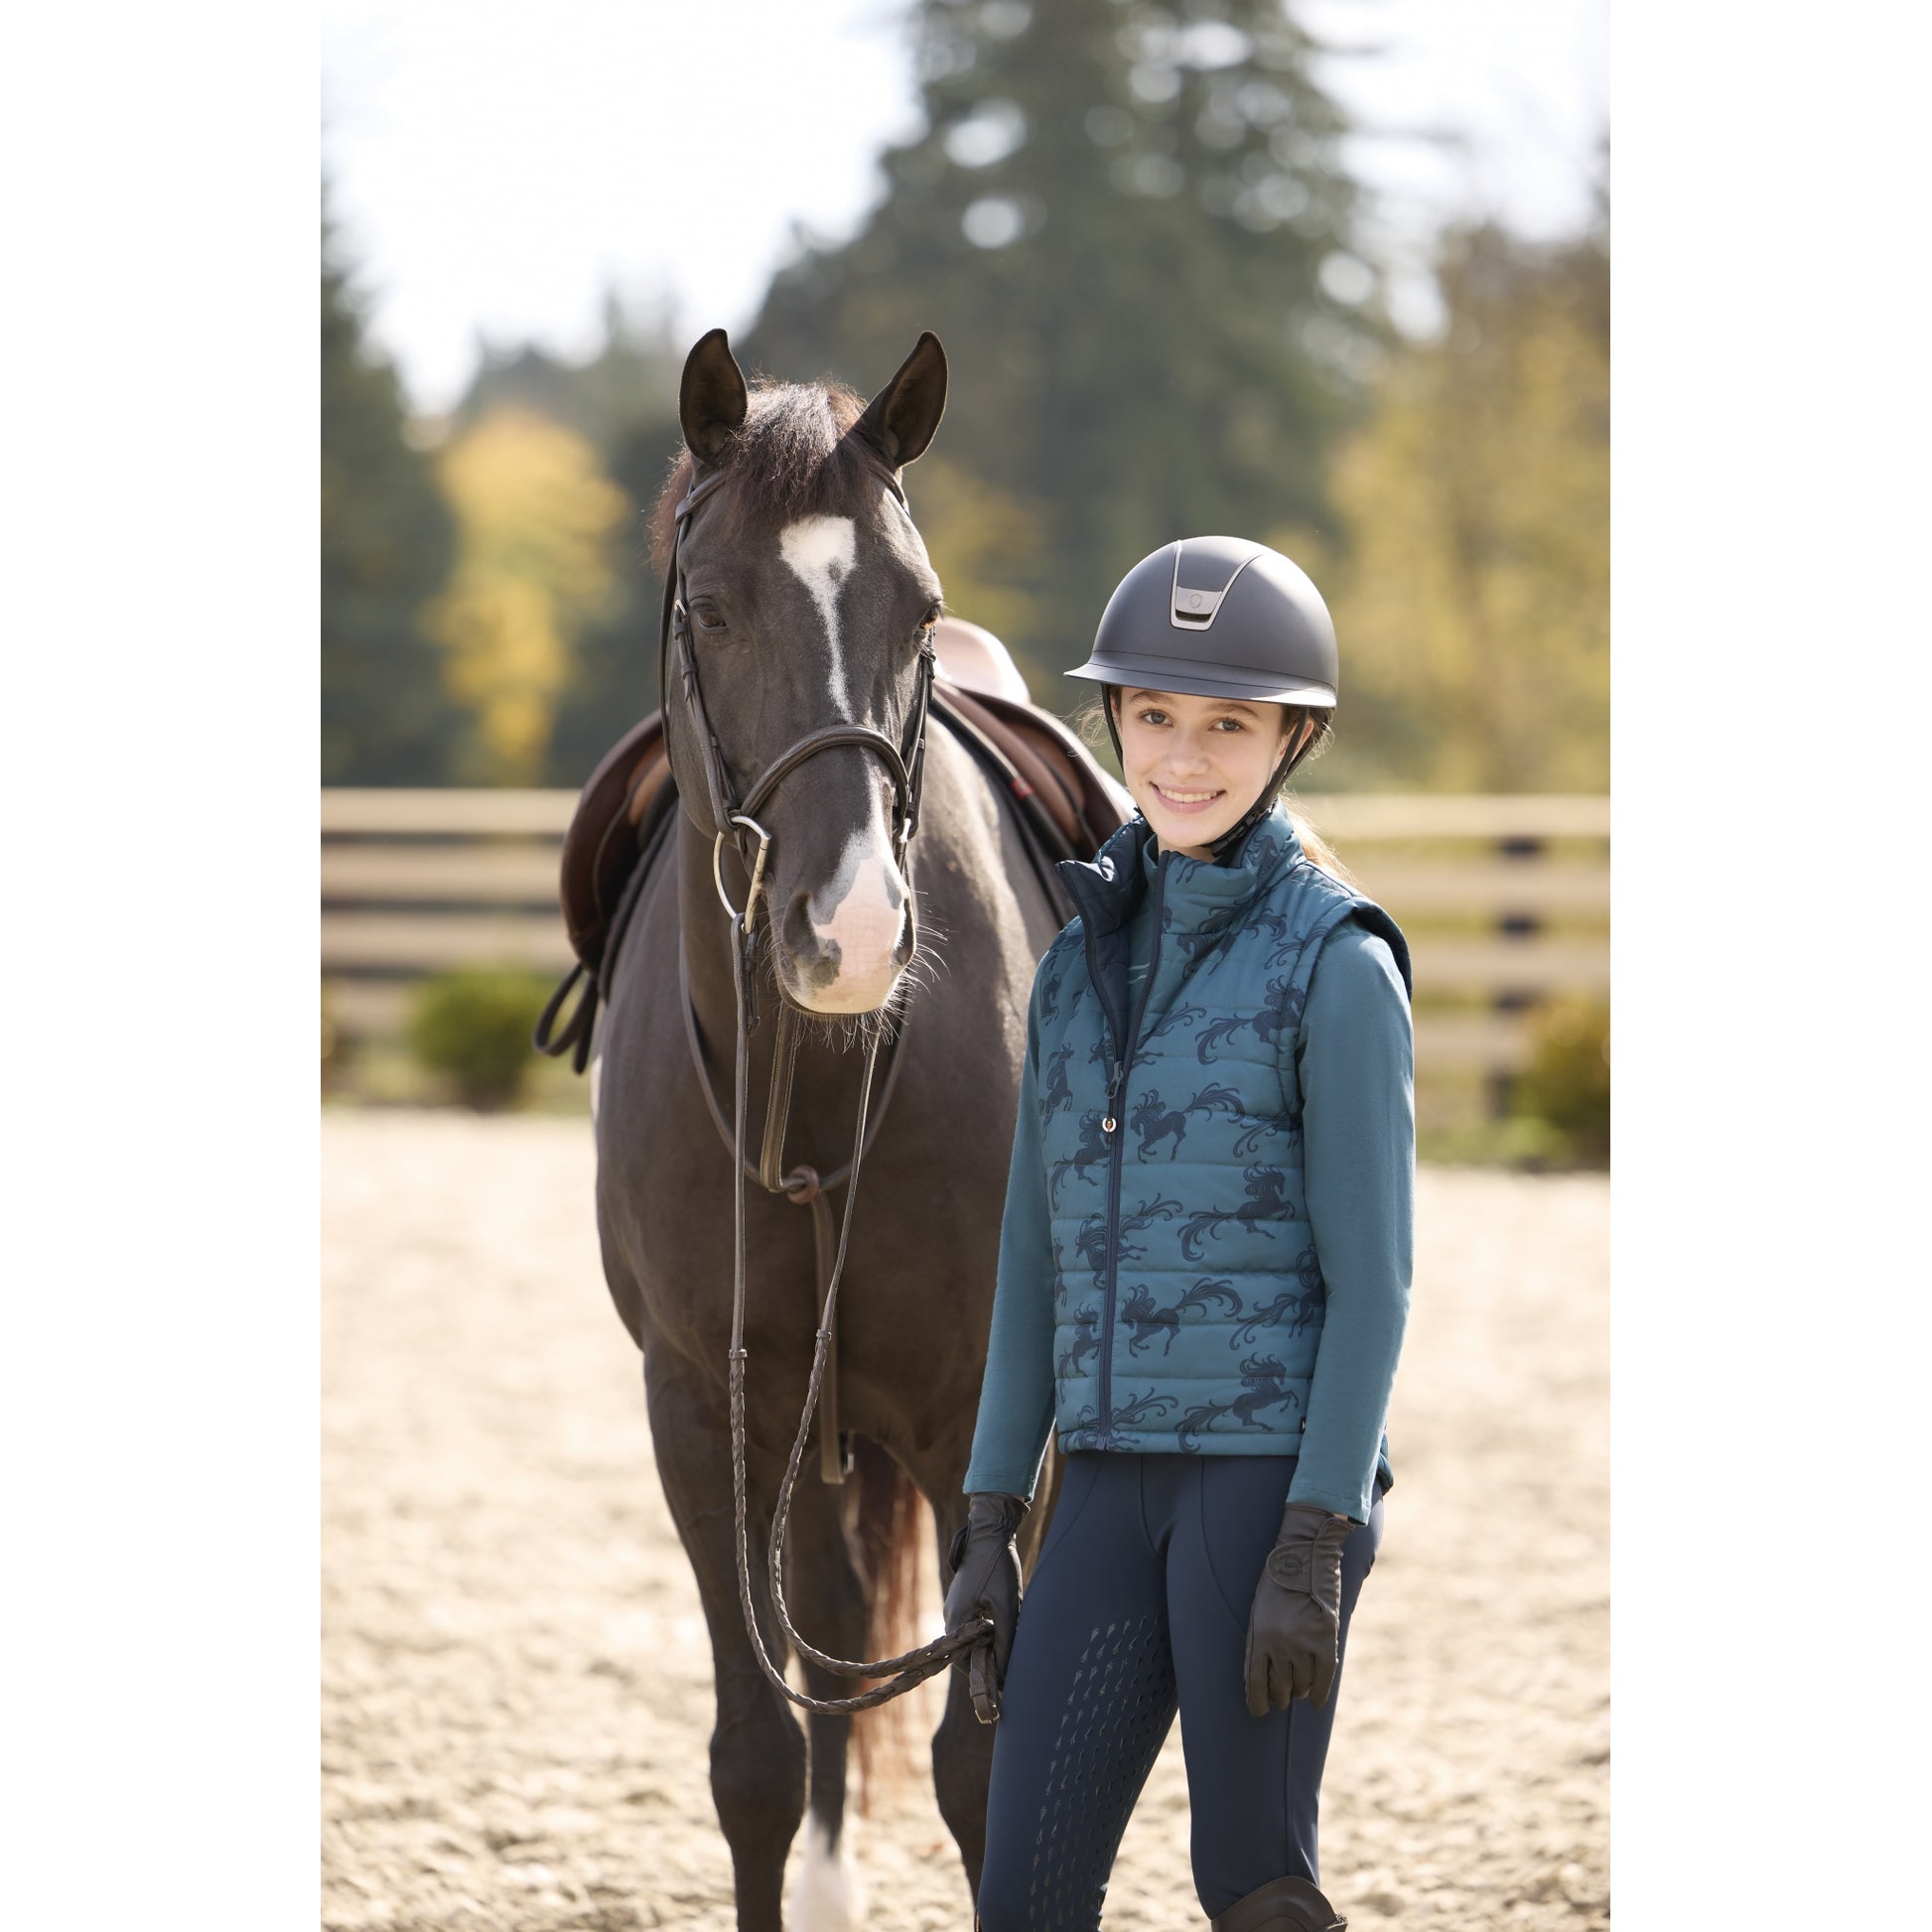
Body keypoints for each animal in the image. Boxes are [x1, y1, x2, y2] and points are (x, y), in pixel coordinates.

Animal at [588, 328, 1069, 1930]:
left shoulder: (990, 1415)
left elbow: (984, 1765)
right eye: (713, 606)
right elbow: (754, 1754)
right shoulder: (700, 1408)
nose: (852, 929)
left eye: (915, 609)